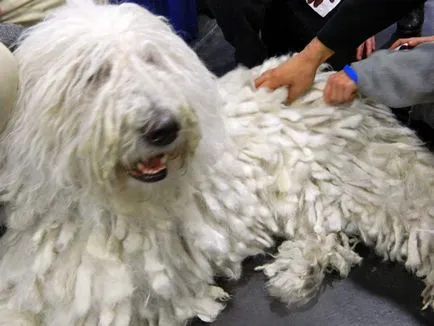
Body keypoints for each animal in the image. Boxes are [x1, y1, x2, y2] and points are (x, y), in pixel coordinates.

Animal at [0, 0, 434, 326]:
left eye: (152, 60)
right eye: (96, 73)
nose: (164, 128)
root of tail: (331, 78)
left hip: (372, 183)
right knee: (321, 235)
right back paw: (296, 274)